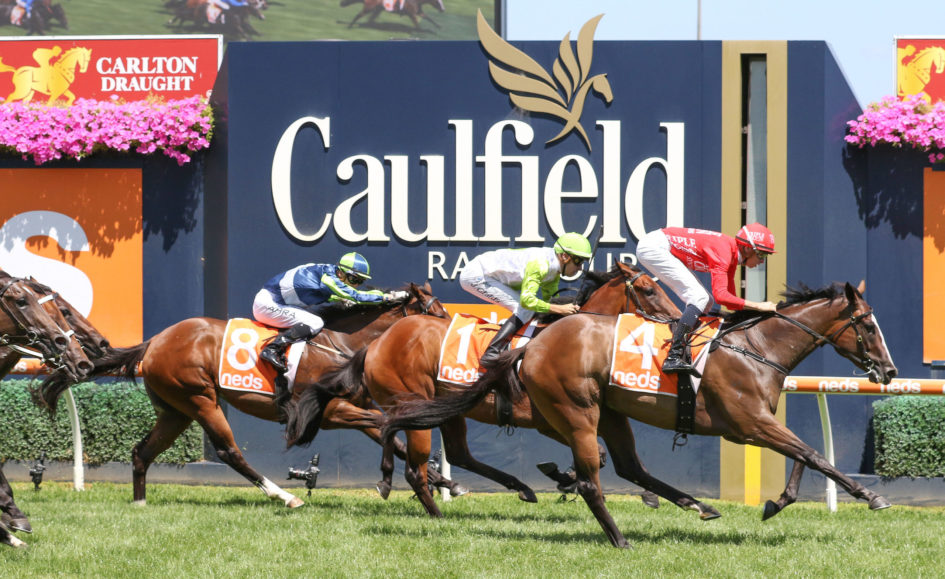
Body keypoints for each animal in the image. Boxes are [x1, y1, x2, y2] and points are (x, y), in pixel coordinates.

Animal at [37, 283, 457, 508]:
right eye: (435, 310)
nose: (454, 333)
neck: (342, 343)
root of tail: (154, 341)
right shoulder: (331, 412)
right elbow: (388, 427)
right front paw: (420, 480)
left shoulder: (353, 407)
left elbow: (392, 437)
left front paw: (444, 482)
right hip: (199, 399)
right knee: (229, 452)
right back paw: (284, 497)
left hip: (175, 411)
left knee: (142, 450)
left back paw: (140, 502)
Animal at [286, 262, 684, 516]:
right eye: (648, 289)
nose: (678, 319)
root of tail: (376, 345)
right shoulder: (550, 418)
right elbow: (598, 455)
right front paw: (565, 476)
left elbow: (601, 456)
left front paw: (567, 477)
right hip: (414, 400)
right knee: (411, 460)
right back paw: (424, 505)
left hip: (446, 409)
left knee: (453, 452)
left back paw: (516, 488)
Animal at [383, 281, 898, 547]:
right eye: (869, 325)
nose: (889, 371)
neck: (756, 348)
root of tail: (531, 348)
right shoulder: (748, 424)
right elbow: (813, 453)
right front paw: (871, 496)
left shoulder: (760, 421)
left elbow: (804, 456)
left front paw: (777, 502)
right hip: (576, 410)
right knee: (592, 479)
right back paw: (618, 538)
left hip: (609, 412)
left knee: (628, 465)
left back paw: (695, 504)